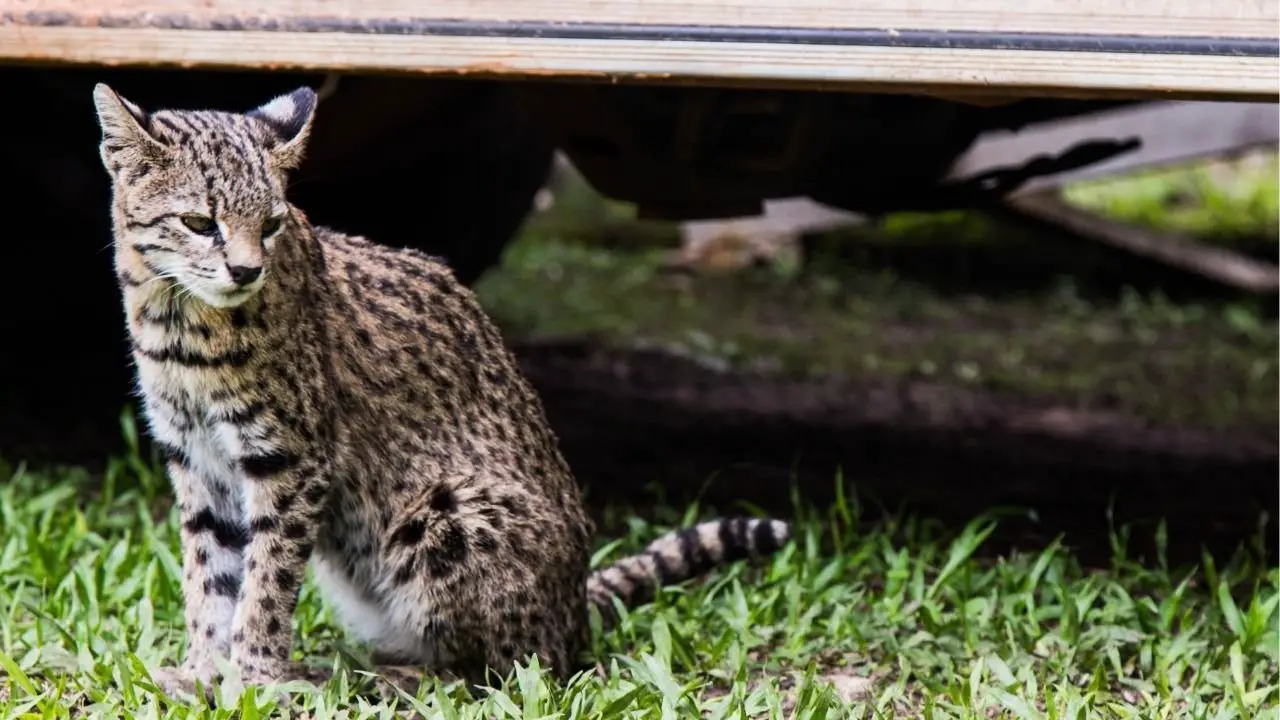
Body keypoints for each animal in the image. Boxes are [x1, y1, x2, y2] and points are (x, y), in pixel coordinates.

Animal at [90, 83, 788, 696]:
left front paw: (254, 676)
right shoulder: (198, 460)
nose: (245, 270)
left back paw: (399, 677)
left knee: (517, 666)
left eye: (271, 224)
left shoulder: (293, 460)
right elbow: (210, 575)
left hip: (445, 516)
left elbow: (266, 578)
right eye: (198, 221)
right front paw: (205, 669)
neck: (178, 325)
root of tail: (574, 611)